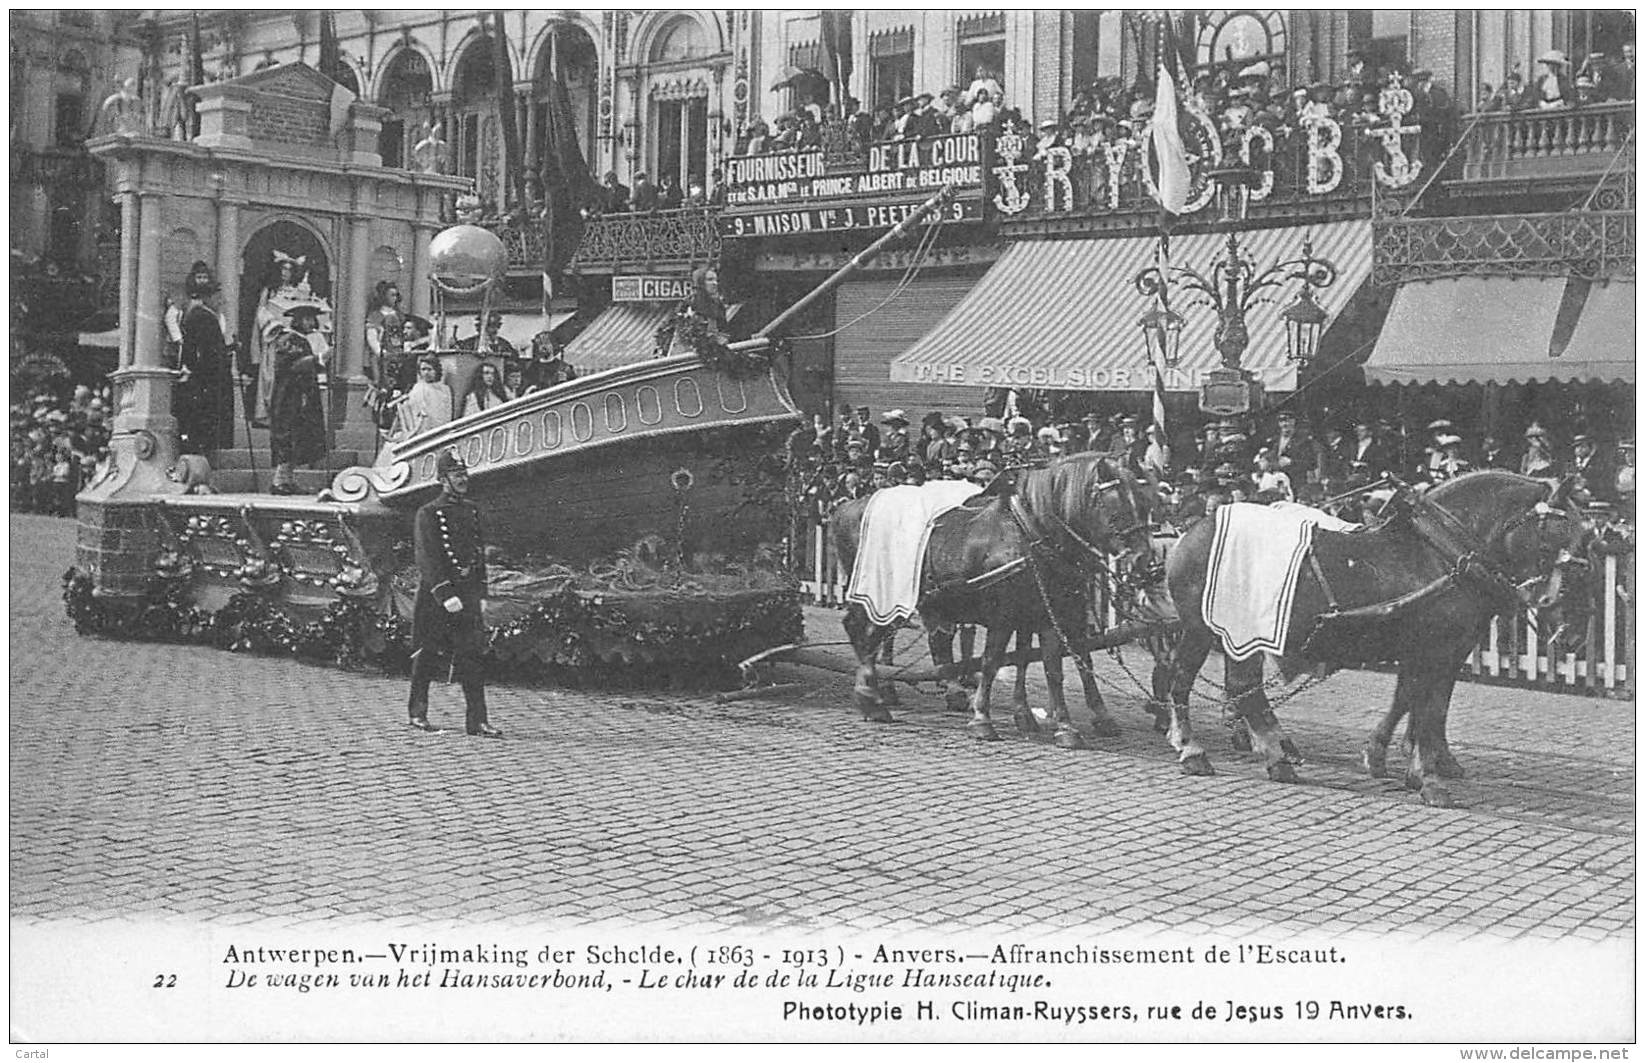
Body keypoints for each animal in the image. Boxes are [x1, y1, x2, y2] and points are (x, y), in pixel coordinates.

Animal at [829, 457, 1151, 750]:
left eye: (1146, 506)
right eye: (1118, 509)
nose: (1143, 561)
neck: (1029, 532)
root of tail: (845, 507)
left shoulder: (1052, 612)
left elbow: (1055, 666)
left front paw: (1067, 725)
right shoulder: (1004, 615)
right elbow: (992, 661)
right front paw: (982, 718)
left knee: (885, 636)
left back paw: (884, 693)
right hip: (881, 593)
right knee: (864, 632)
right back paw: (872, 694)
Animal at [1158, 473, 1592, 809]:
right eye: (1556, 537)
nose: (1572, 631)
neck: (1442, 555)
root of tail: (1188, 534)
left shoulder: (1439, 653)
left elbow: (1422, 705)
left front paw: (1407, 763)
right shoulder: (1434, 651)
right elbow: (1426, 711)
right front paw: (1428, 779)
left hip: (1222, 632)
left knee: (1218, 685)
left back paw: (1247, 753)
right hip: (1219, 630)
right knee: (1211, 684)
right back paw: (1213, 750)